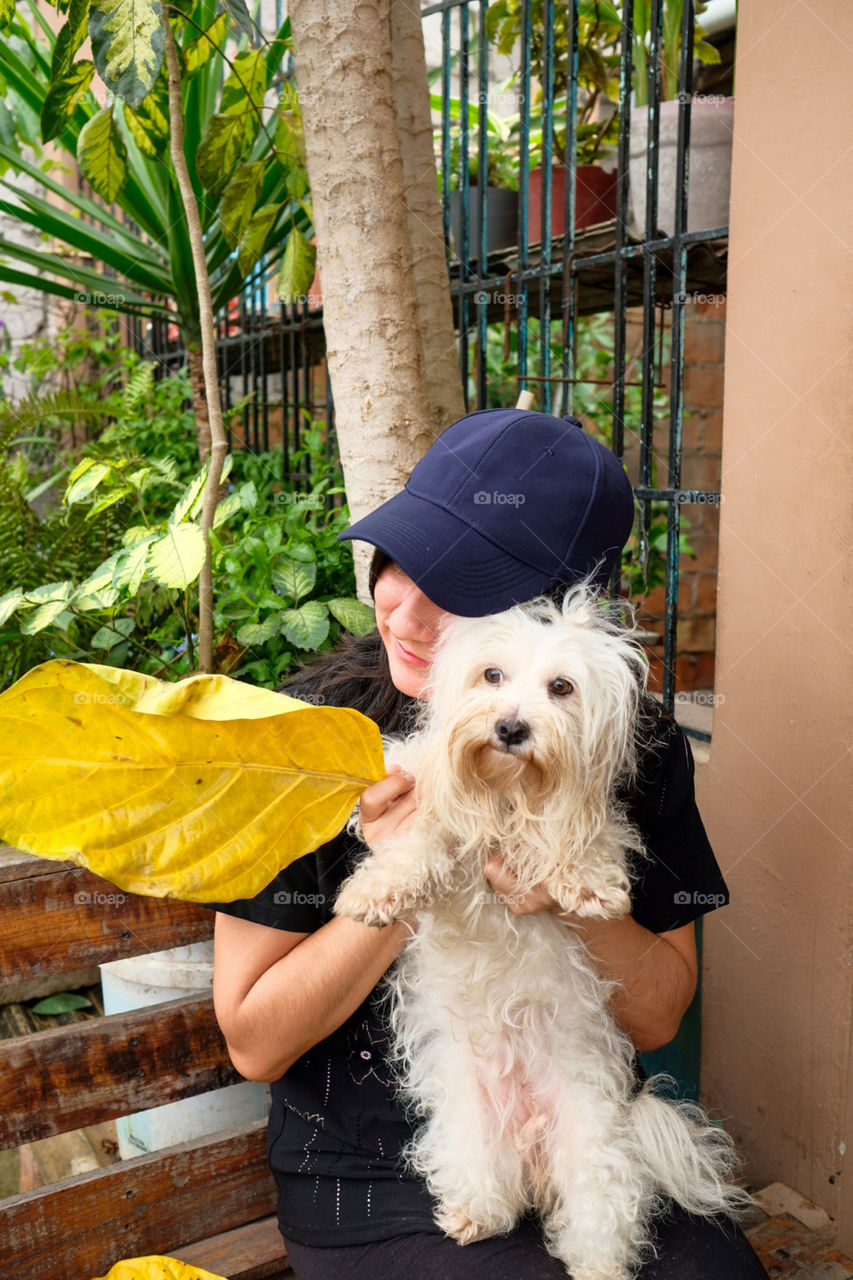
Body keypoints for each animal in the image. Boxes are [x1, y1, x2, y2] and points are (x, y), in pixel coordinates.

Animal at [333, 588, 742, 1280]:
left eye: (561, 688)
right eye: (492, 675)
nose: (510, 728)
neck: (508, 794)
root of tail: (528, 1143)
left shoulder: (585, 820)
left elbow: (583, 843)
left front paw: (589, 884)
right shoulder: (430, 802)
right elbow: (418, 840)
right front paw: (378, 891)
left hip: (592, 1139)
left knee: (600, 1213)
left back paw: (596, 1264)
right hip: (467, 1117)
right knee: (485, 1180)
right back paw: (476, 1213)